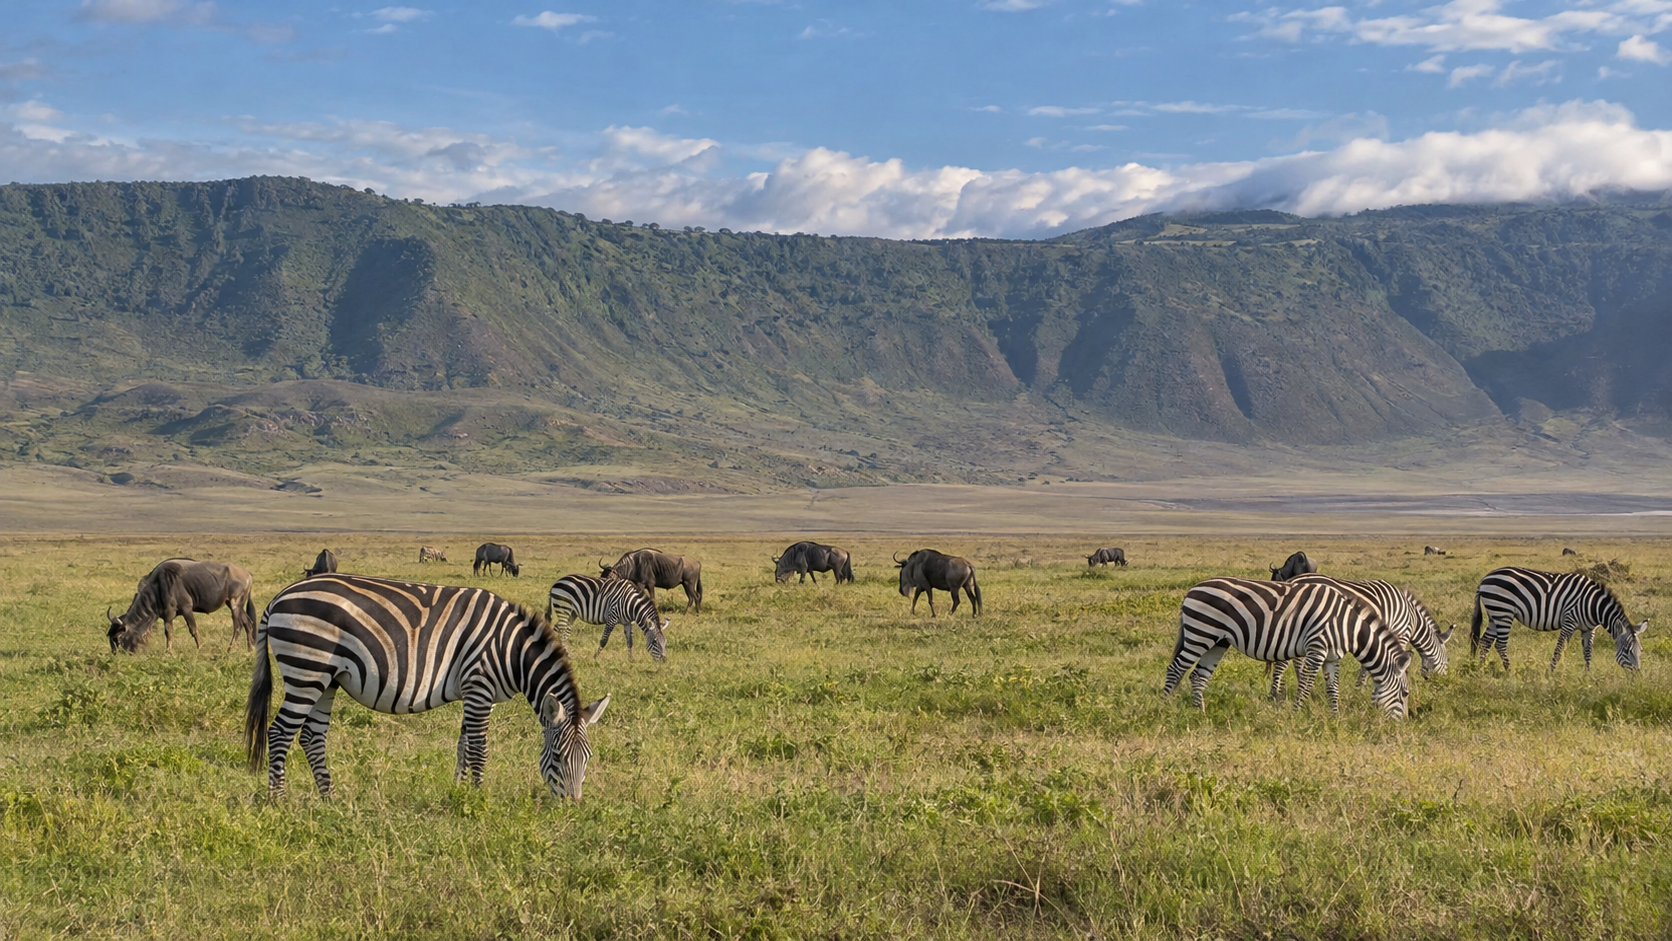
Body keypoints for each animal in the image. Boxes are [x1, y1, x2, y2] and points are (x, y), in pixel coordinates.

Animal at [244, 574, 610, 800]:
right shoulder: (479, 686)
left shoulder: (476, 693)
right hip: (307, 669)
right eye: (558, 756)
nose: (573, 805)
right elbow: (480, 748)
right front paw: (480, 799)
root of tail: (278, 598)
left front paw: (459, 793)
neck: (512, 651)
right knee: (280, 732)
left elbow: (464, 745)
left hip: (326, 679)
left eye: (589, 758)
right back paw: (279, 801)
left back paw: (329, 798)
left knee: (311, 736)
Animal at [1164, 577, 1412, 717]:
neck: (1347, 624)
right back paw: (1163, 708)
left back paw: (1200, 713)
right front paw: (1296, 714)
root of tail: (1193, 589)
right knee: (1175, 669)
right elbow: (1306, 685)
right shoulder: (1316, 648)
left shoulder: (1332, 657)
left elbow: (1333, 688)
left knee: (1198, 676)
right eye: (1405, 693)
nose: (1401, 724)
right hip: (1200, 632)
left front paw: (1335, 718)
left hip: (1218, 641)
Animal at [1268, 575, 1454, 698]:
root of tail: (1291, 580)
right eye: (1447, 661)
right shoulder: (1399, 634)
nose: (1442, 685)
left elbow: (1367, 665)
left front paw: (1361, 688)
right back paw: (1274, 695)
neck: (1412, 618)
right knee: (1283, 662)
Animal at [1471, 566, 1647, 672]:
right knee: (1500, 644)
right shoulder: (1569, 621)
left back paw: (1480, 668)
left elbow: (1588, 652)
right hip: (1503, 612)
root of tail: (1484, 579)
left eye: (1641, 651)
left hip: (1495, 614)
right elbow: (1559, 649)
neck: (1593, 605)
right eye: (1626, 650)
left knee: (1485, 641)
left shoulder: (1588, 628)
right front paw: (1551, 673)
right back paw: (1509, 671)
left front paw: (1587, 675)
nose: (1637, 676)